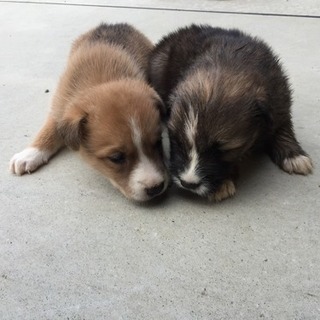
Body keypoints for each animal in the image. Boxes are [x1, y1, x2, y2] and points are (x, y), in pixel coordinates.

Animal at [149, 25, 314, 201]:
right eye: (175, 141)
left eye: (224, 150)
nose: (188, 183)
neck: (229, 60)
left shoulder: (279, 99)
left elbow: (283, 128)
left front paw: (294, 156)